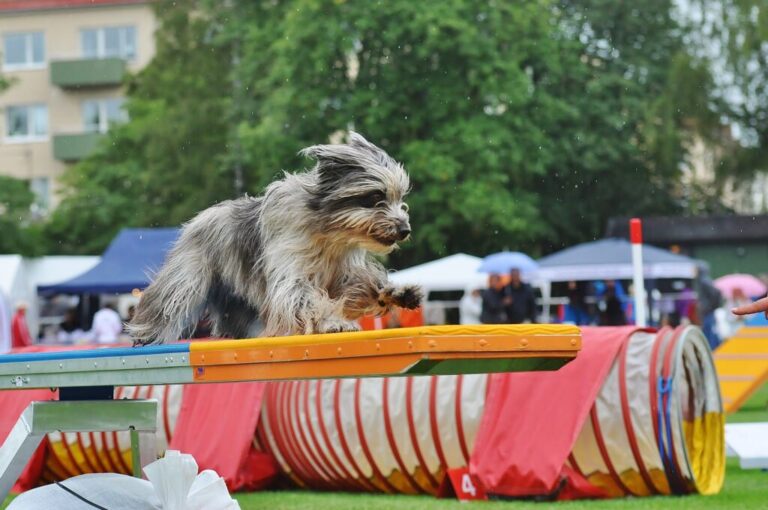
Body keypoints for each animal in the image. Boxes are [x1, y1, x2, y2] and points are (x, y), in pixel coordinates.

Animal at [129, 133, 424, 344]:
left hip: (237, 298)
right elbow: (307, 298)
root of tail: (197, 219)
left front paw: (395, 293)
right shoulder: (290, 270)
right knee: (170, 300)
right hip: (188, 277)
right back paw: (146, 335)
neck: (327, 233)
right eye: (375, 197)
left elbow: (362, 286)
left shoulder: (343, 271)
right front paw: (333, 322)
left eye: (400, 198)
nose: (404, 229)